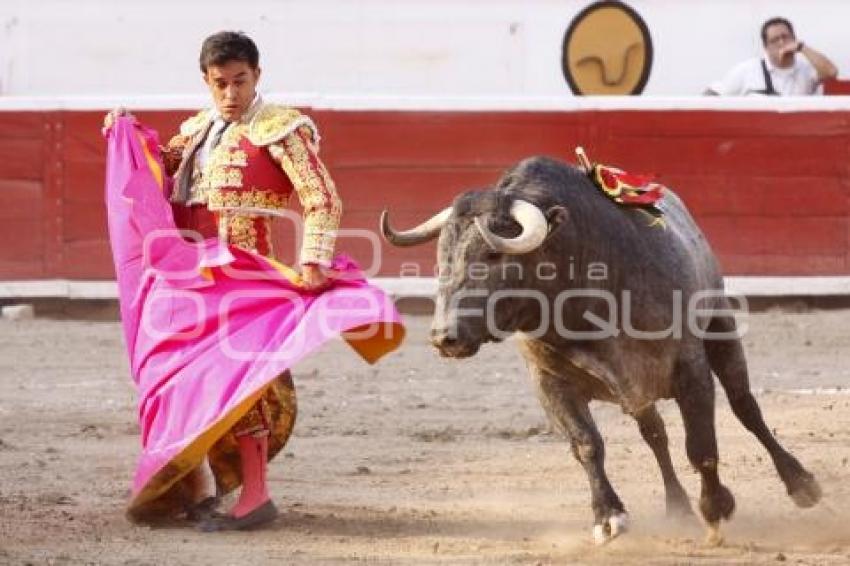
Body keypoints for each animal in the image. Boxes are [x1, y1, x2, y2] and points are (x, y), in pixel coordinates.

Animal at [380, 155, 820, 544]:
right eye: (442, 256)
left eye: (493, 254)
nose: (444, 337)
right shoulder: (550, 382)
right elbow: (587, 444)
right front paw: (608, 517)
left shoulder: (690, 369)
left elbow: (702, 447)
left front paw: (716, 508)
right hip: (637, 392)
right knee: (655, 433)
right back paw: (677, 508)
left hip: (720, 328)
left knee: (745, 406)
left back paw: (801, 483)